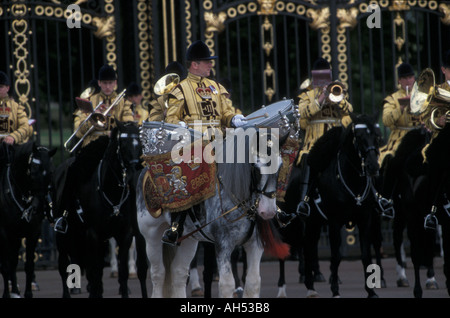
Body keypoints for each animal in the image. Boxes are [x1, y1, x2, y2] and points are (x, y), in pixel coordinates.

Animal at [0, 142, 55, 298]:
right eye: (34, 171)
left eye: (50, 172)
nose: (38, 206)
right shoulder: (3, 233)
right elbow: (5, 266)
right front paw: (6, 294)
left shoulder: (32, 233)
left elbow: (29, 265)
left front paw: (27, 293)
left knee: (13, 261)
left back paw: (15, 290)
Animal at [53, 121, 147, 298]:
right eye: (123, 144)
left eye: (141, 144)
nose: (135, 172)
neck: (111, 190)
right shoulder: (93, 234)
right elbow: (95, 272)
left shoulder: (125, 234)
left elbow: (122, 272)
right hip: (63, 236)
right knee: (64, 266)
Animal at [300, 112, 382, 298]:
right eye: (359, 137)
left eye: (376, 136)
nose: (373, 166)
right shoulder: (335, 222)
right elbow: (336, 256)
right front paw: (335, 289)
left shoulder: (365, 219)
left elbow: (366, 255)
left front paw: (371, 291)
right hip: (311, 221)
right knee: (307, 247)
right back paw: (309, 285)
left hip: (317, 222)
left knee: (310, 247)